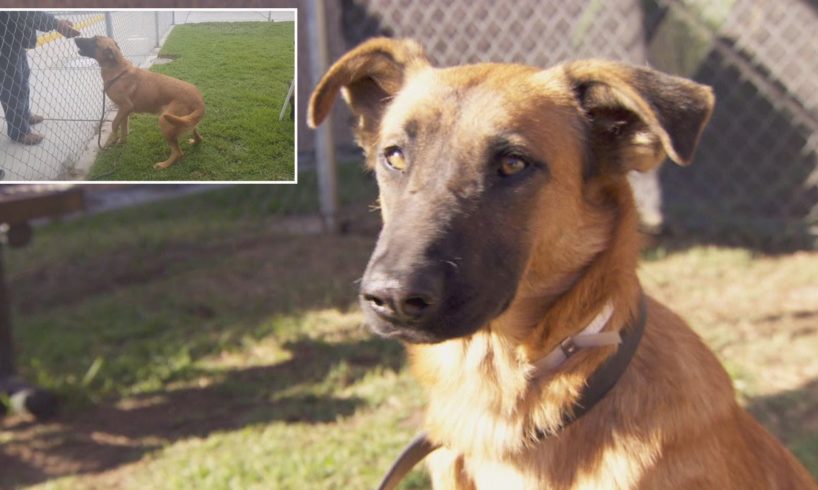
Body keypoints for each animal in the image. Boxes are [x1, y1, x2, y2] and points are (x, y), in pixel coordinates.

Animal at [75, 35, 204, 169]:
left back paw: (164, 164)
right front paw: (121, 142)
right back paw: (195, 141)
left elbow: (114, 124)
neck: (117, 71)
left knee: (178, 152)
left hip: (165, 121)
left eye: (94, 40)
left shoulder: (125, 107)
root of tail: (199, 100)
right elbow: (123, 128)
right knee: (197, 134)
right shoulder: (124, 111)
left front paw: (114, 139)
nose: (75, 38)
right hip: (184, 120)